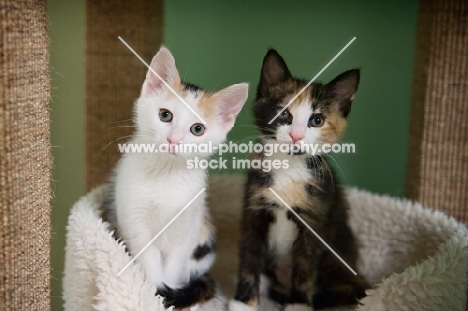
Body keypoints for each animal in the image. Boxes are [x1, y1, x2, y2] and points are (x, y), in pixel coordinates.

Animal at [102, 46, 249, 310]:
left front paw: (167, 294)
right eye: (165, 115)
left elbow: (173, 266)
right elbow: (149, 260)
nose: (173, 140)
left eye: (197, 129)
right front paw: (152, 296)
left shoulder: (187, 229)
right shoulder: (134, 221)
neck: (166, 174)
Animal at [230, 50, 370, 310]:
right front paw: (244, 302)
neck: (289, 168)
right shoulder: (254, 209)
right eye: (284, 112)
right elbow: (250, 255)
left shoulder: (315, 217)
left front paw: (298, 303)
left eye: (317, 120)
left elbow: (304, 265)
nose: (296, 136)